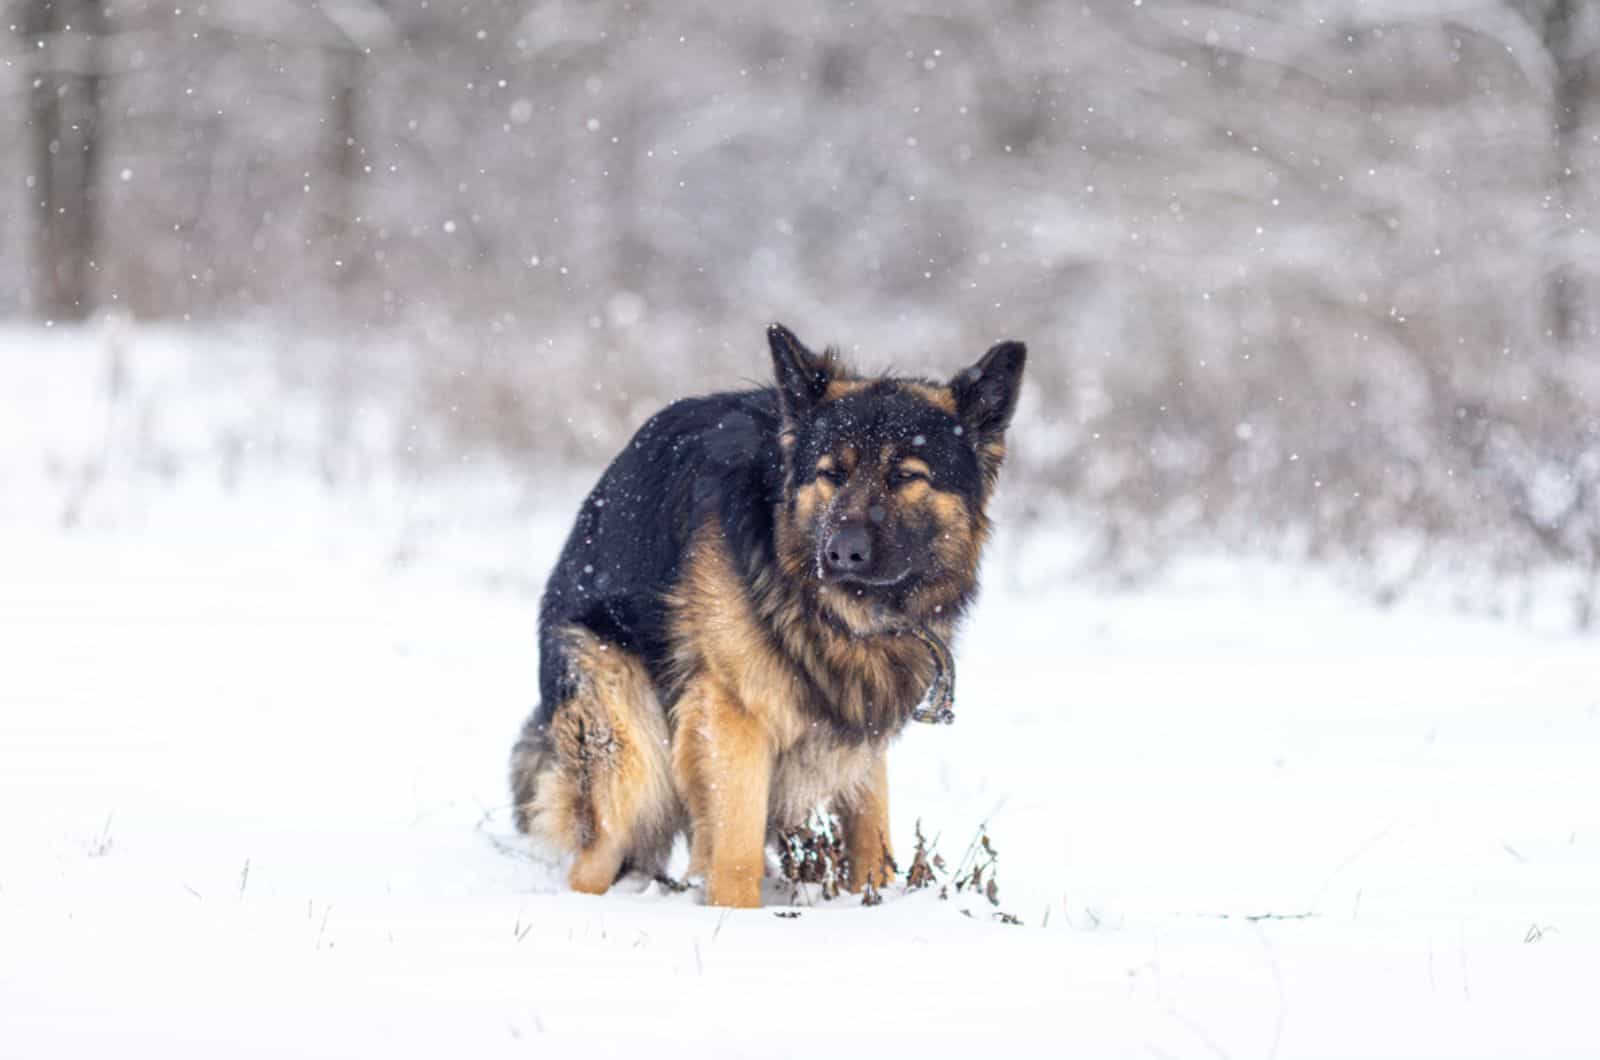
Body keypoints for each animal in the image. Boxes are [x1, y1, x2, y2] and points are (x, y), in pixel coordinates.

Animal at [512, 328, 1024, 909]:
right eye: (831, 473)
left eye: (905, 476)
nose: (842, 553)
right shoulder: (732, 713)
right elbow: (737, 847)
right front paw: (736, 917)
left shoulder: (860, 711)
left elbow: (870, 830)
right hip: (630, 746)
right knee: (596, 857)